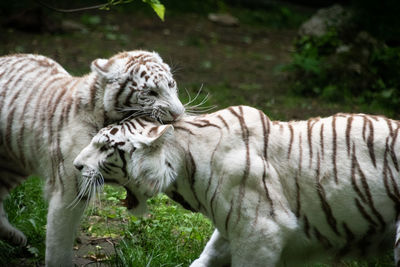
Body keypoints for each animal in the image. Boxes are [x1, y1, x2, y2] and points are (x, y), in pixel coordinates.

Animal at [0, 51, 184, 266]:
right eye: (150, 92)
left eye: (171, 84)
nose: (179, 114)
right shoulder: (69, 189)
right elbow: (59, 243)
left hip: (12, 165)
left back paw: (15, 237)